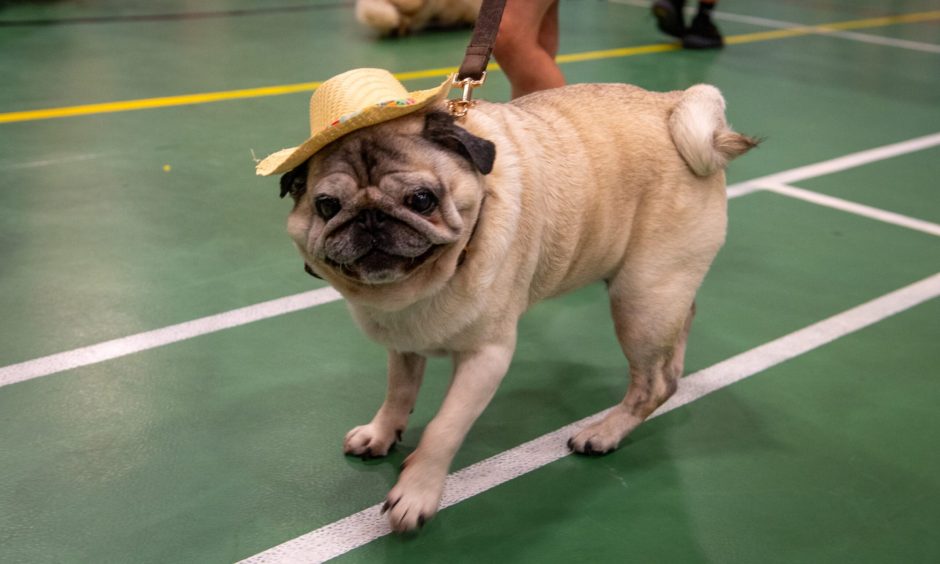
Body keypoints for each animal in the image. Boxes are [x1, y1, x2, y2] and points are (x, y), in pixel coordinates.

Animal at [274, 81, 756, 532]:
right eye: (327, 206)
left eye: (422, 200)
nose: (370, 217)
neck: (422, 284)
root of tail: (673, 103)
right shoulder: (404, 345)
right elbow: (398, 393)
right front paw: (381, 433)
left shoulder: (486, 358)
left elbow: (443, 429)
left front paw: (416, 492)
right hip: (661, 298)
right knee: (677, 342)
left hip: (641, 301)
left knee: (652, 384)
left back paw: (604, 433)